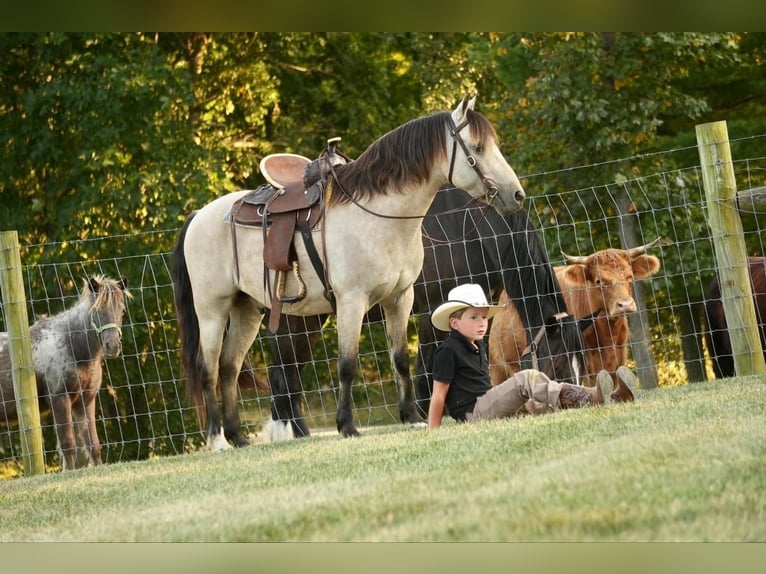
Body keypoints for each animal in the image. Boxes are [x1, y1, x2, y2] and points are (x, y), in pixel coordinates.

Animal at [0, 276, 130, 472]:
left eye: (122, 310)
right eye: (97, 310)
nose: (113, 345)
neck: (71, 345)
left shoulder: (85, 401)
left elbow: (93, 444)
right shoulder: (60, 399)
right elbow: (68, 444)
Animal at [173, 95, 528, 450]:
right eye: (478, 147)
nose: (517, 195)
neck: (380, 216)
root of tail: (199, 216)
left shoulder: (400, 299)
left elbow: (400, 358)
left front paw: (411, 418)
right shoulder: (352, 302)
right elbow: (347, 365)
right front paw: (346, 425)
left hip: (246, 310)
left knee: (229, 367)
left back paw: (238, 437)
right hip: (213, 311)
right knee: (210, 370)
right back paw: (217, 439)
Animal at [260, 190, 592, 440]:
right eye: (559, 363)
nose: (574, 402)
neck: (470, 232)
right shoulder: (434, 309)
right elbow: (425, 370)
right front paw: (423, 414)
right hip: (295, 322)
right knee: (282, 377)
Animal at [492, 237, 664, 400]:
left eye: (630, 276)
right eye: (599, 281)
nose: (625, 305)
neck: (607, 334)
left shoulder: (619, 356)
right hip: (500, 368)